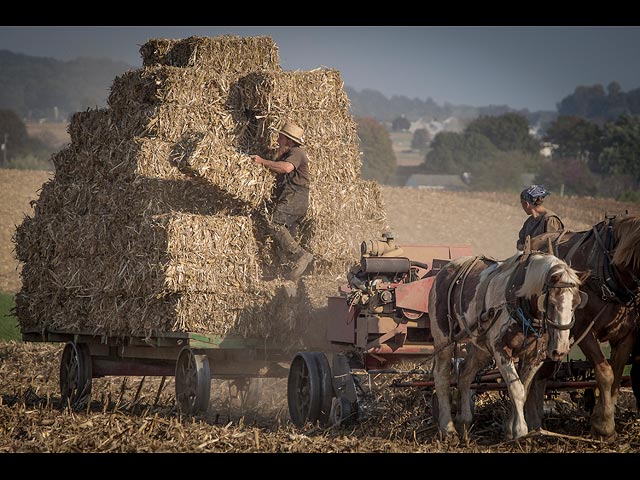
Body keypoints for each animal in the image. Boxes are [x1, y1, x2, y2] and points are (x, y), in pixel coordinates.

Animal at [428, 251, 588, 438]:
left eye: (576, 303)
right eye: (552, 303)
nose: (560, 350)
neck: (520, 299)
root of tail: (443, 271)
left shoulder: (536, 356)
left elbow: (523, 390)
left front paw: (510, 429)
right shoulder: (501, 350)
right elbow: (516, 389)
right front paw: (520, 431)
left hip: (481, 347)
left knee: (466, 374)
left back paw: (464, 421)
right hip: (443, 339)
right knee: (442, 377)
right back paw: (448, 428)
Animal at [524, 214, 640, 438]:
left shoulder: (627, 335)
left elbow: (616, 373)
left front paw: (602, 419)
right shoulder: (582, 329)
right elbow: (605, 372)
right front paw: (604, 426)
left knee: (541, 373)